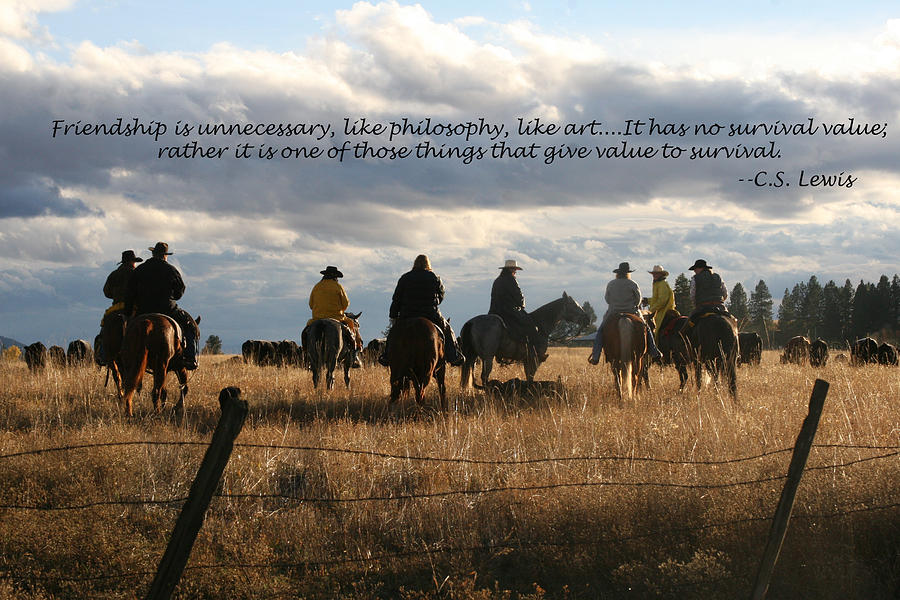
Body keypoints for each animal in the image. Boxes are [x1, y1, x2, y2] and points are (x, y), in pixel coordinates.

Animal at [458, 296, 592, 390]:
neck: (540, 325)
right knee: (484, 377)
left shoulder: (527, 359)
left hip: (473, 357)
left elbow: (529, 377)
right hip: (487, 358)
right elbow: (531, 376)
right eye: (573, 305)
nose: (587, 319)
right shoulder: (534, 359)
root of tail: (471, 322)